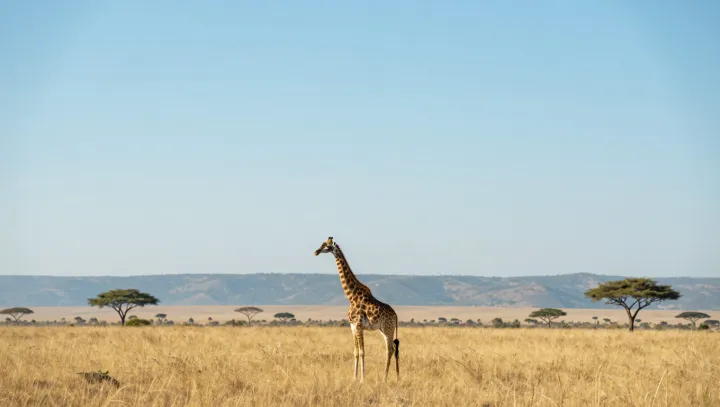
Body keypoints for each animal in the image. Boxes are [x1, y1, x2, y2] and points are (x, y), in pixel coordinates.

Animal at [314, 237, 400, 383]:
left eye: (327, 245)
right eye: (322, 243)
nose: (316, 252)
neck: (351, 296)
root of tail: (396, 316)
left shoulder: (359, 325)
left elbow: (362, 352)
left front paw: (362, 379)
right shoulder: (352, 326)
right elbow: (355, 352)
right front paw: (354, 378)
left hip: (388, 329)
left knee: (390, 349)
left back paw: (384, 378)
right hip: (384, 329)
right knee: (393, 348)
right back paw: (396, 377)